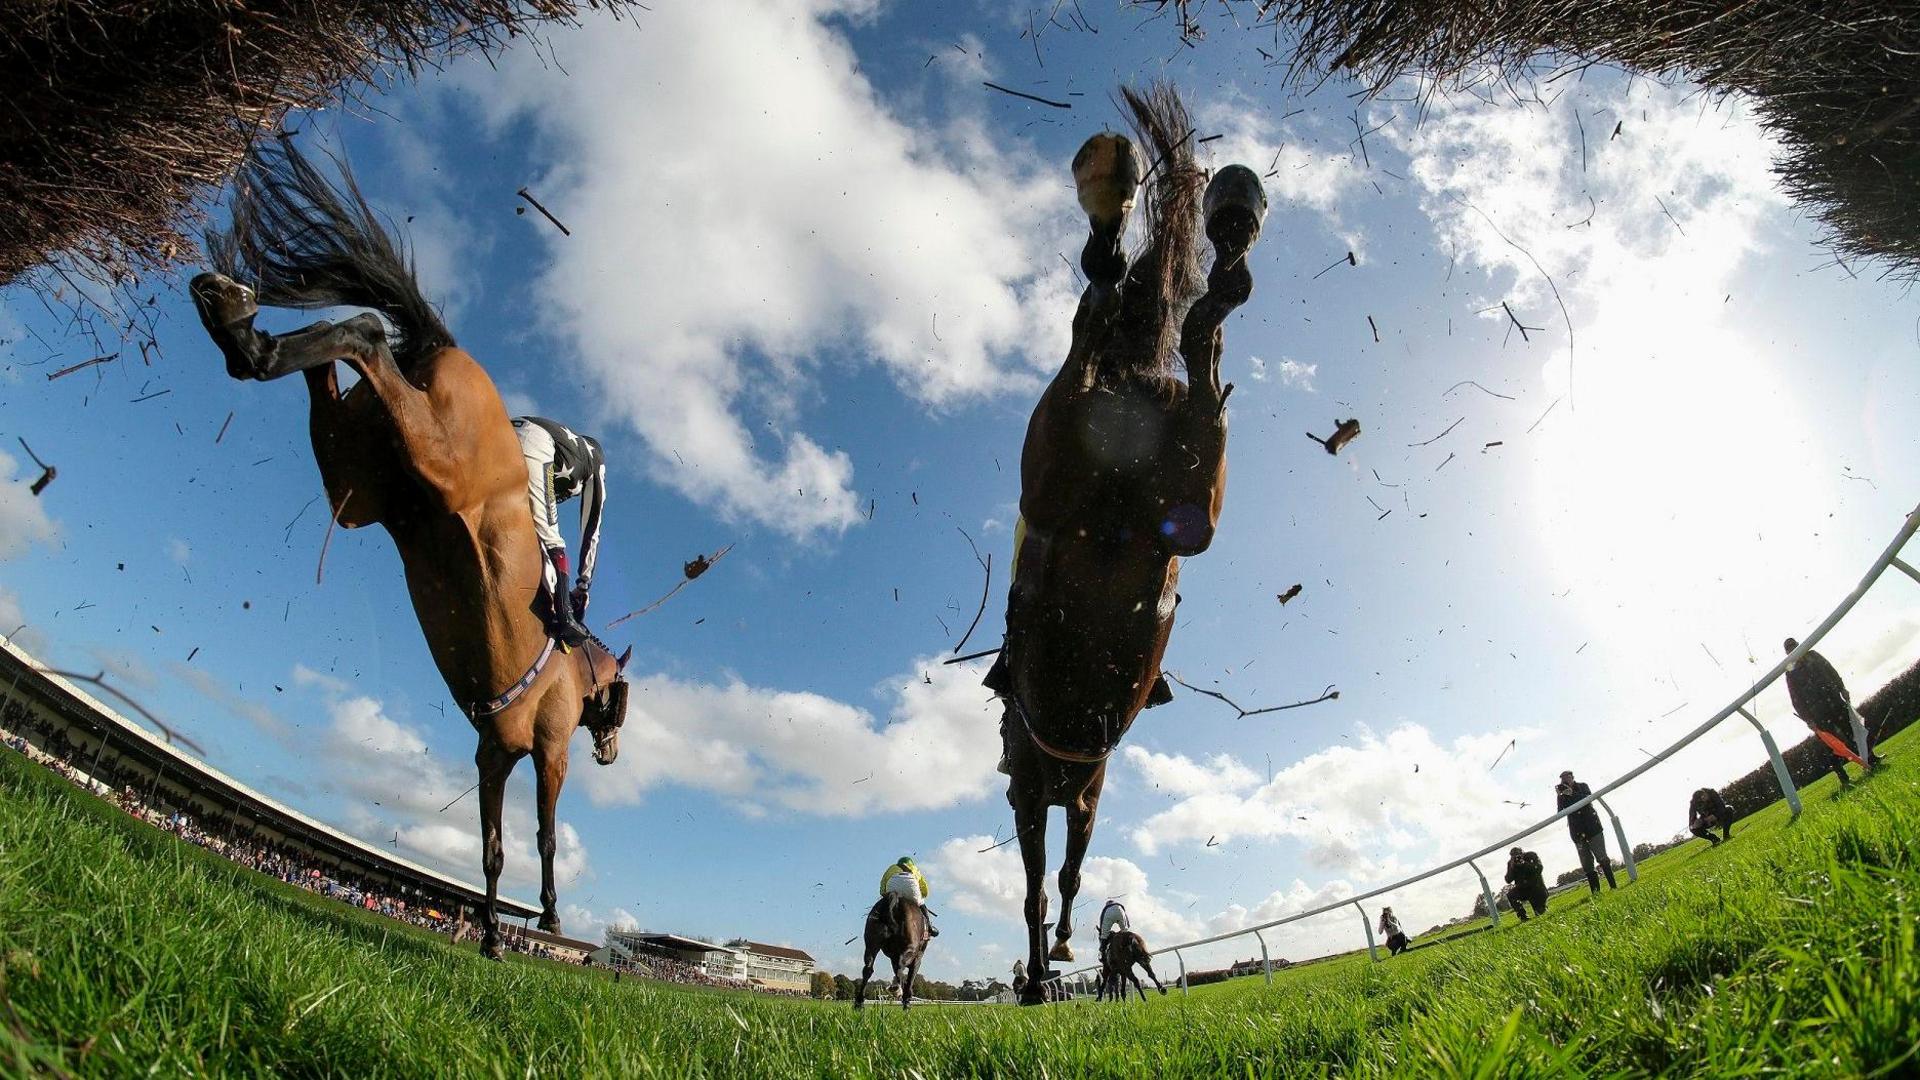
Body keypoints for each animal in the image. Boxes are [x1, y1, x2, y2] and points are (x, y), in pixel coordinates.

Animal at [187, 138, 625, 953]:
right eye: (623, 703)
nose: (613, 751)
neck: (569, 672)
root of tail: (447, 347)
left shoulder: (493, 754)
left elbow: (492, 847)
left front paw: (490, 934)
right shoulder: (547, 751)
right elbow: (546, 836)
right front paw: (546, 917)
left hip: (359, 483)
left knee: (327, 367)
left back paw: (241, 324)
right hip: (438, 458)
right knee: (363, 331)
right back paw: (247, 318)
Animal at [998, 84, 1267, 999]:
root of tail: (1130, 387)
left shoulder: (1054, 795)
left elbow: (1054, 881)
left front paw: (1051, 958)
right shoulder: (1060, 792)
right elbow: (1056, 878)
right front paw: (1048, 961)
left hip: (1069, 470)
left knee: (1100, 310)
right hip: (1161, 493)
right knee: (1163, 327)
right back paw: (1213, 237)